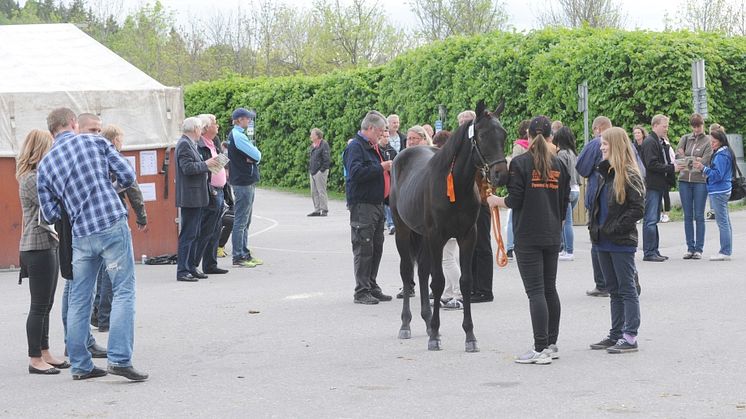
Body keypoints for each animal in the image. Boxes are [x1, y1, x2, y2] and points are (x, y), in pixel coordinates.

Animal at [386, 100, 508, 352]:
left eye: (503, 134)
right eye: (482, 135)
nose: (501, 174)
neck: (455, 186)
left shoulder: (467, 236)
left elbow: (464, 281)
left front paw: (469, 336)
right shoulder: (436, 237)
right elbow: (439, 281)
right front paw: (434, 335)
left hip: (421, 236)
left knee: (422, 271)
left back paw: (426, 320)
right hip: (404, 231)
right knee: (407, 271)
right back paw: (407, 324)